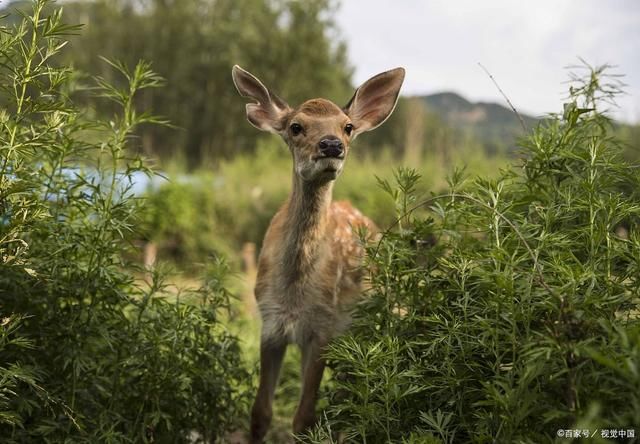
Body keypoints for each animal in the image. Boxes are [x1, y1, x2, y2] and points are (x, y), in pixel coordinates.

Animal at [232, 62, 404, 440]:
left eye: (348, 127)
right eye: (296, 127)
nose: (331, 145)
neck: (295, 293)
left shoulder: (324, 327)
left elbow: (304, 418)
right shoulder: (270, 322)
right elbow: (260, 412)